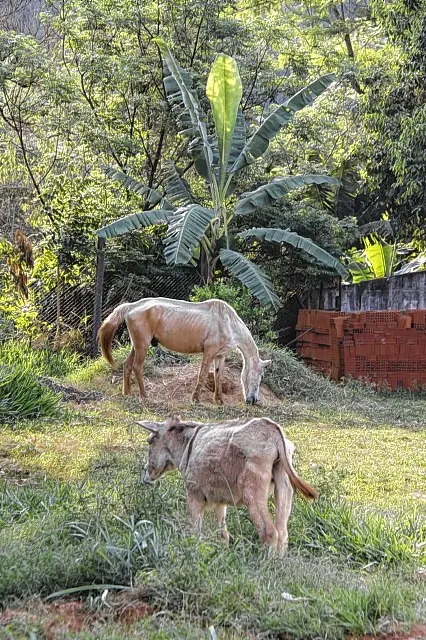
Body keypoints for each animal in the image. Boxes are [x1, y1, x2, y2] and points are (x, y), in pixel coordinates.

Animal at [97, 296, 270, 404]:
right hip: (142, 346)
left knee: (127, 365)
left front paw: (219, 400)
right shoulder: (209, 352)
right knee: (137, 367)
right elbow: (202, 375)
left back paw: (127, 393)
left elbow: (218, 377)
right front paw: (195, 399)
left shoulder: (220, 355)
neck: (226, 321)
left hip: (137, 346)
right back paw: (144, 396)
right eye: (260, 375)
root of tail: (131, 306)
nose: (253, 400)